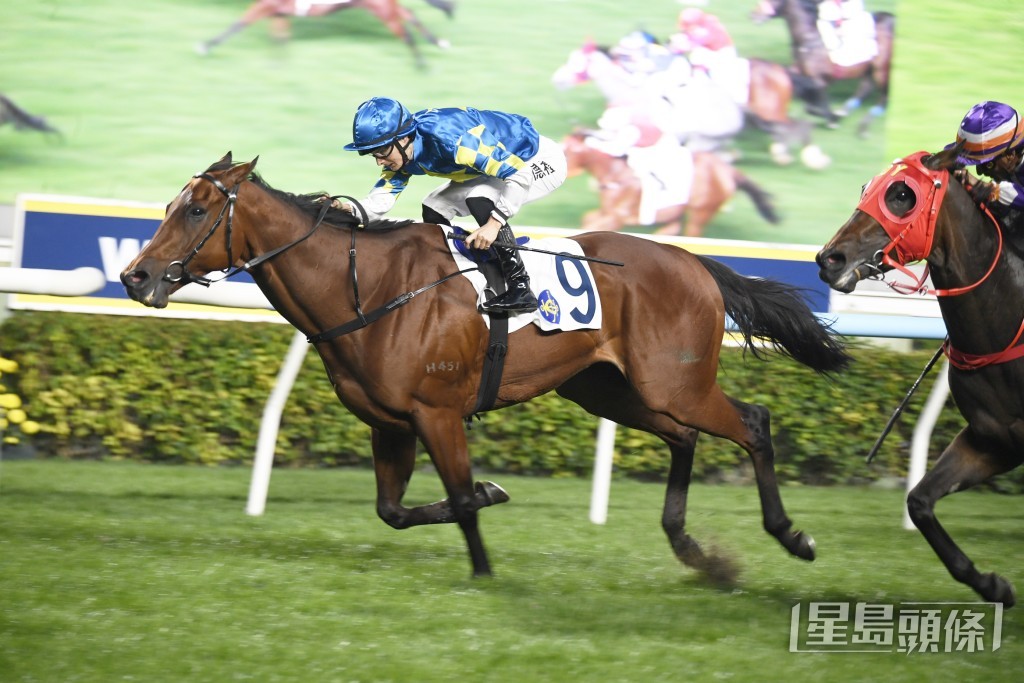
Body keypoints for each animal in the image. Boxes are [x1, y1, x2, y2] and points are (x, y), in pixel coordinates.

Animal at [120, 152, 850, 580]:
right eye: (170, 205)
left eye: (196, 208)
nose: (135, 275)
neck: (368, 288)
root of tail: (695, 262)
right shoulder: (389, 424)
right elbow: (393, 510)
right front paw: (482, 512)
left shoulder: (438, 412)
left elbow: (464, 498)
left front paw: (484, 560)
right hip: (611, 390)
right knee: (685, 438)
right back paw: (694, 550)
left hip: (674, 381)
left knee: (752, 422)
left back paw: (791, 537)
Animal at [195, 0, 454, 68]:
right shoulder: (278, 12)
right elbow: (280, 40)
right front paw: (278, 66)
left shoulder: (266, 6)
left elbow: (237, 25)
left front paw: (205, 46)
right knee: (410, 15)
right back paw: (439, 42)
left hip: (382, 10)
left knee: (406, 33)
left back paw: (422, 65)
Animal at [562, 130, 780, 237]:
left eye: (567, 150)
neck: (616, 172)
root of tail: (727, 171)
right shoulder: (606, 212)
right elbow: (587, 220)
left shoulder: (616, 218)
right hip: (678, 212)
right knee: (672, 230)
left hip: (700, 213)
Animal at [751, 0, 895, 135]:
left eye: (772, 0)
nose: (754, 15)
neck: (809, 38)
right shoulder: (801, 74)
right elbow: (808, 106)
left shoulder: (819, 80)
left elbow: (814, 106)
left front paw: (833, 120)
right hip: (869, 70)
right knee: (865, 88)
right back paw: (846, 112)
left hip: (881, 71)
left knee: (884, 96)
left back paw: (864, 126)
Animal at [816, 146, 1022, 606]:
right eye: (866, 186)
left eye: (901, 194)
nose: (829, 259)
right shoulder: (991, 440)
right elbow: (919, 502)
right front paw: (993, 585)